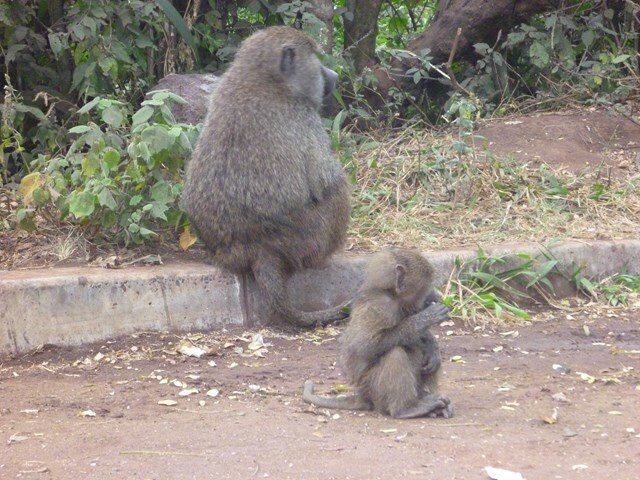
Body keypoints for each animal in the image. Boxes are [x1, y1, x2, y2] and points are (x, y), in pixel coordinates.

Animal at [181, 27, 351, 328]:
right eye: (315, 57)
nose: (333, 75)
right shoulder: (304, 117)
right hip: (310, 239)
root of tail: (259, 249)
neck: (263, 78)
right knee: (337, 194)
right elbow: (326, 182)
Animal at [303, 248, 453, 419]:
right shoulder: (381, 307)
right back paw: (407, 409)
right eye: (425, 288)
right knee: (395, 353)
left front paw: (431, 343)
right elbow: (364, 346)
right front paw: (423, 320)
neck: (393, 295)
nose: (438, 296)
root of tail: (362, 396)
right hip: (372, 389)